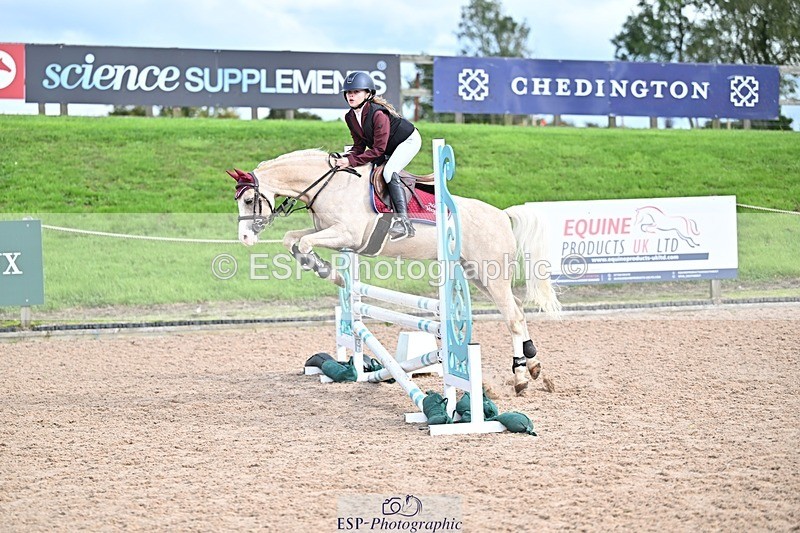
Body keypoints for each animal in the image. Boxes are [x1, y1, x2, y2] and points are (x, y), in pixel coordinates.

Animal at [228, 148, 561, 394]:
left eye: (249, 199)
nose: (244, 238)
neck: (330, 185)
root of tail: (502, 214)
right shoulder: (331, 232)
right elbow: (292, 239)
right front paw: (325, 271)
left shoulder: (347, 235)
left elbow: (306, 243)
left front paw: (330, 273)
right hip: (478, 275)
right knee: (517, 309)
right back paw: (532, 365)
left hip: (490, 274)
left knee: (513, 316)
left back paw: (520, 377)